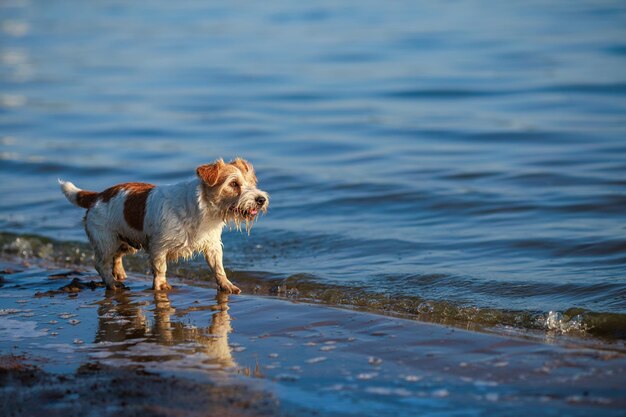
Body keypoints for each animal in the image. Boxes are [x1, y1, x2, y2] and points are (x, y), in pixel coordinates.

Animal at [55, 158, 266, 292]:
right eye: (233, 184)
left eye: (251, 183)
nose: (261, 199)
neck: (202, 210)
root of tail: (98, 196)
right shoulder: (158, 247)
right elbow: (160, 268)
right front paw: (160, 287)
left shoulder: (212, 246)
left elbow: (218, 268)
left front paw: (226, 285)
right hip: (106, 242)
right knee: (101, 264)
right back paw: (112, 283)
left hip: (128, 242)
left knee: (117, 258)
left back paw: (120, 274)